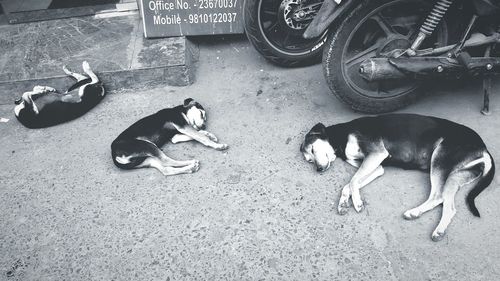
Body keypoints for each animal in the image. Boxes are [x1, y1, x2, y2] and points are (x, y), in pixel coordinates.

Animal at [300, 112, 496, 240]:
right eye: (309, 160)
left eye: (312, 150)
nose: (318, 169)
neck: (341, 139)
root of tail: (483, 148)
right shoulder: (377, 165)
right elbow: (349, 184)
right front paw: (343, 202)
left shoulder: (376, 154)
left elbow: (353, 181)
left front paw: (357, 202)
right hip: (456, 175)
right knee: (449, 204)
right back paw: (434, 226)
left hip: (440, 157)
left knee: (438, 196)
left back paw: (418, 215)